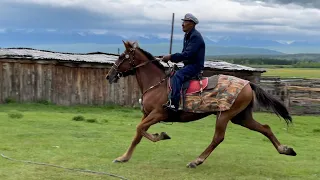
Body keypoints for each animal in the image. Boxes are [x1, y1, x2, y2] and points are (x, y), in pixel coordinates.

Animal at [106, 40, 296, 169]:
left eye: (122, 57)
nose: (109, 75)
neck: (156, 84)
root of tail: (248, 83)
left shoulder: (158, 114)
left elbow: (140, 129)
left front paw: (161, 135)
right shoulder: (147, 115)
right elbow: (138, 134)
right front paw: (123, 157)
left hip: (225, 115)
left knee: (218, 138)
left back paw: (196, 161)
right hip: (241, 117)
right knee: (265, 128)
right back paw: (285, 149)